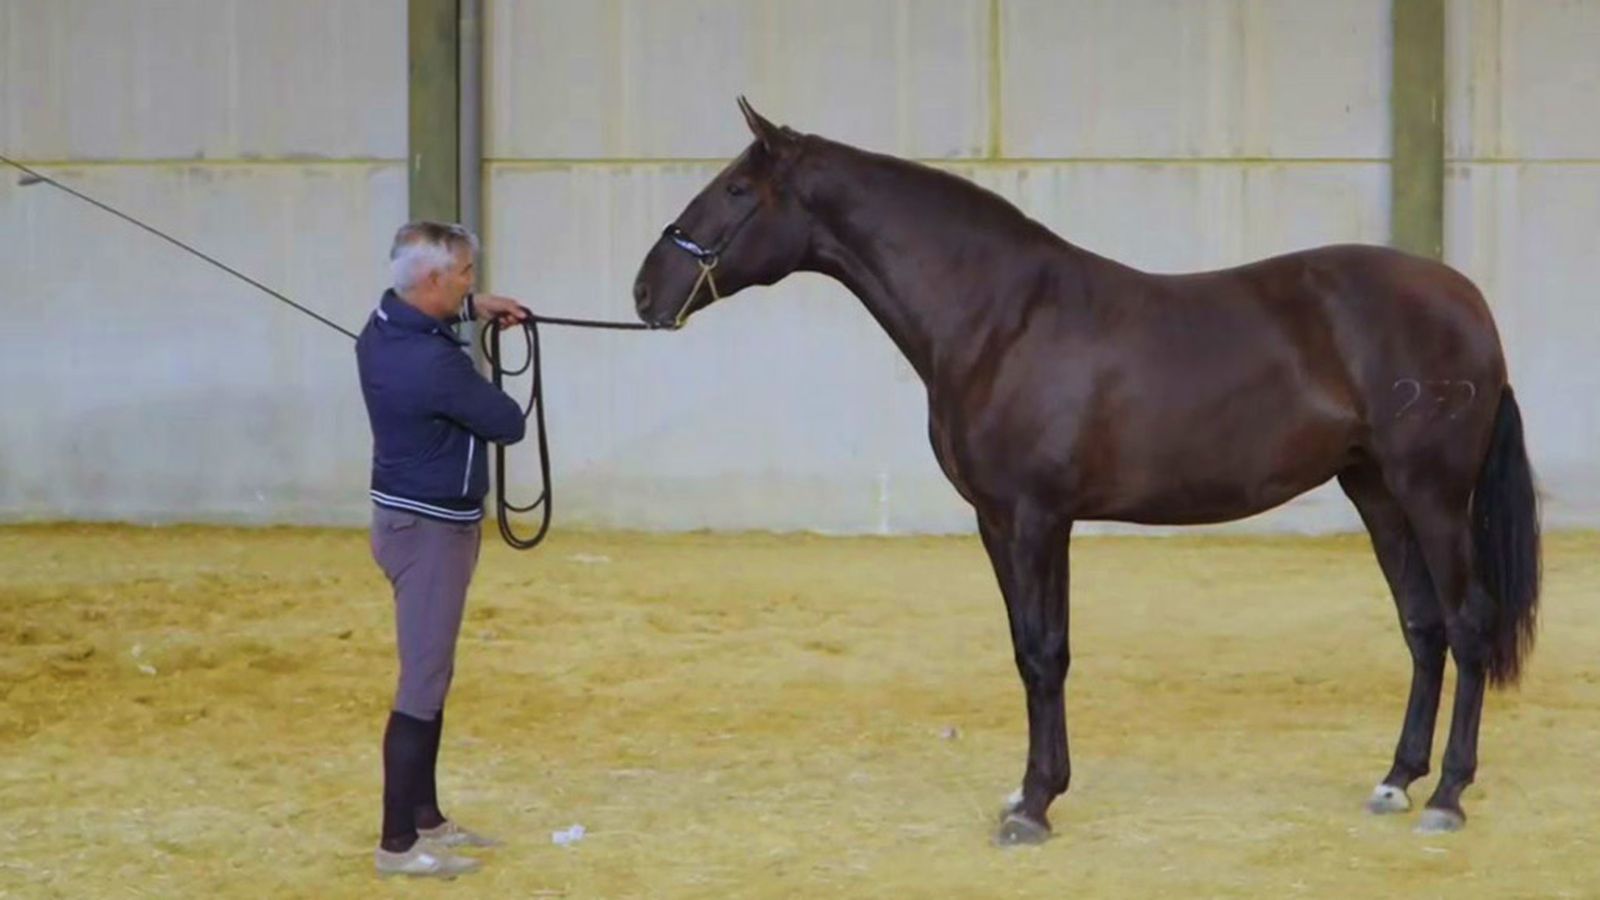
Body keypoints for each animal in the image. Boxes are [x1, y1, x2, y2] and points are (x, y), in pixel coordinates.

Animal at [631, 98, 1540, 845]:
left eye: (736, 191)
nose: (645, 291)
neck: (999, 318)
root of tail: (1466, 301)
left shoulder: (1039, 515)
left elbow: (1044, 653)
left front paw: (1034, 807)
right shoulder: (999, 519)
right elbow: (1029, 649)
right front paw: (1030, 791)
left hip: (1430, 493)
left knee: (1467, 623)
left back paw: (1447, 797)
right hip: (1375, 489)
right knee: (1423, 626)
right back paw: (1396, 782)